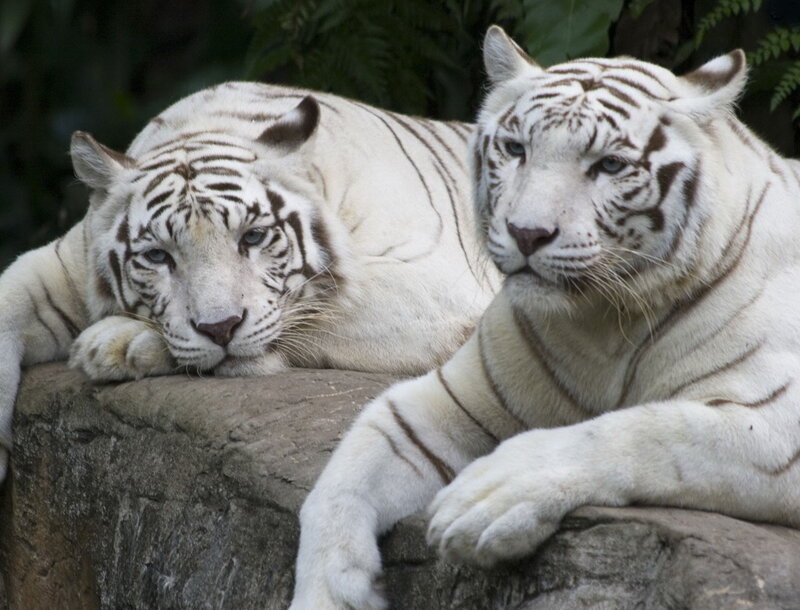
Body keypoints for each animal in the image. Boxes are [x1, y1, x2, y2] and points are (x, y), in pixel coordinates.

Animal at [0, 82, 500, 482]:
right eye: (159, 256)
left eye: (253, 236)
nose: (220, 328)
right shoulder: (63, 261)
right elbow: (8, 300)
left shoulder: (437, 289)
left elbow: (316, 310)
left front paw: (116, 344)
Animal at [290, 25, 800, 609]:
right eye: (517, 149)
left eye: (609, 165)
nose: (527, 232)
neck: (605, 323)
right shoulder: (448, 398)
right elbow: (340, 480)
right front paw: (330, 591)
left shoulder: (776, 424)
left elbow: (641, 430)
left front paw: (486, 497)